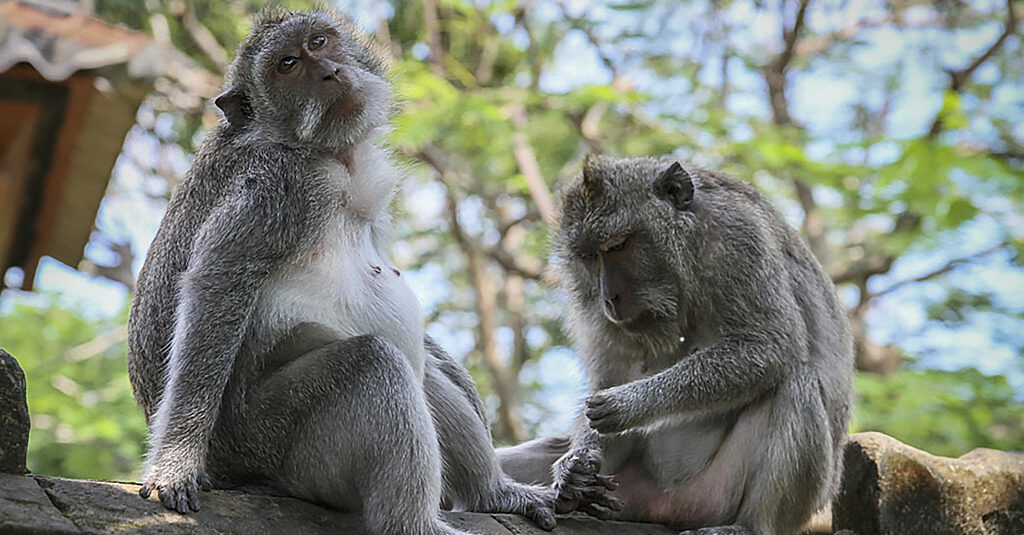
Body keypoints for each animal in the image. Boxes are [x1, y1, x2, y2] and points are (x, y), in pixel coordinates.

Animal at [130, 9, 561, 532]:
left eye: (319, 42)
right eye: (288, 64)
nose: (330, 73)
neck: (327, 156)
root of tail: (237, 471)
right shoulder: (275, 186)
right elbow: (219, 281)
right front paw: (176, 463)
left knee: (418, 371)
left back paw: (493, 493)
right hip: (271, 441)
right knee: (374, 361)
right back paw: (413, 524)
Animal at [499, 154, 851, 532]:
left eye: (618, 246)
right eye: (590, 256)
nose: (610, 298)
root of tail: (662, 505)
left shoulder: (738, 241)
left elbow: (770, 346)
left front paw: (630, 403)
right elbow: (605, 381)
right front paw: (573, 468)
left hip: (720, 493)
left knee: (795, 381)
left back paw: (751, 525)